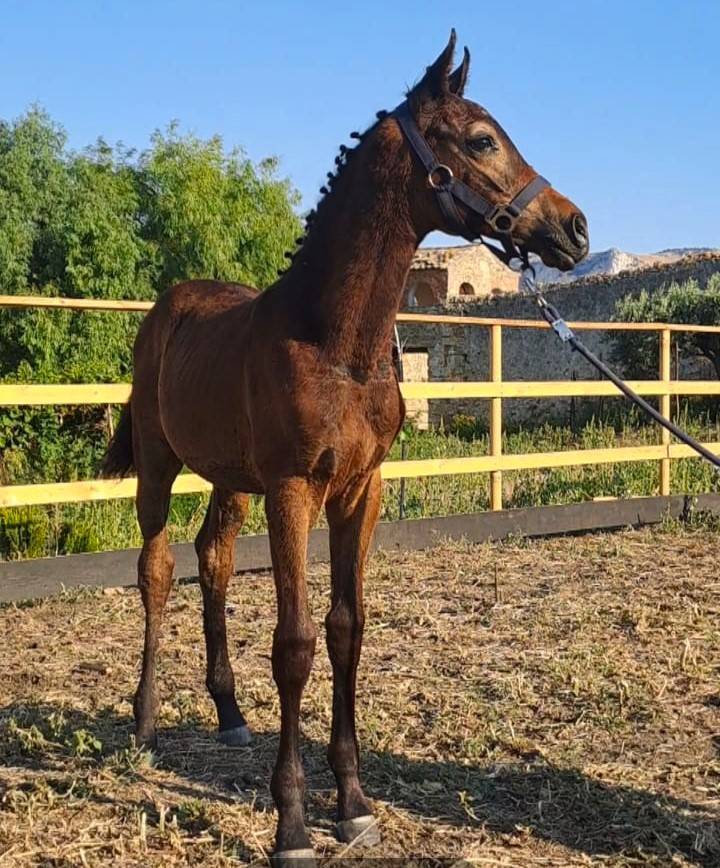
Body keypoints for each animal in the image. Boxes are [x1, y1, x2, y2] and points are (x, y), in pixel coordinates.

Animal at [101, 31, 589, 866]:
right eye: (482, 139)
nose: (574, 228)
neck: (335, 346)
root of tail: (170, 305)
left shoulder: (362, 490)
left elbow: (346, 630)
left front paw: (354, 805)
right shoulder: (295, 489)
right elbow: (295, 643)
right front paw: (293, 823)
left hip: (231, 480)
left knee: (213, 559)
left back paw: (228, 714)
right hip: (163, 466)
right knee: (158, 568)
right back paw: (143, 719)